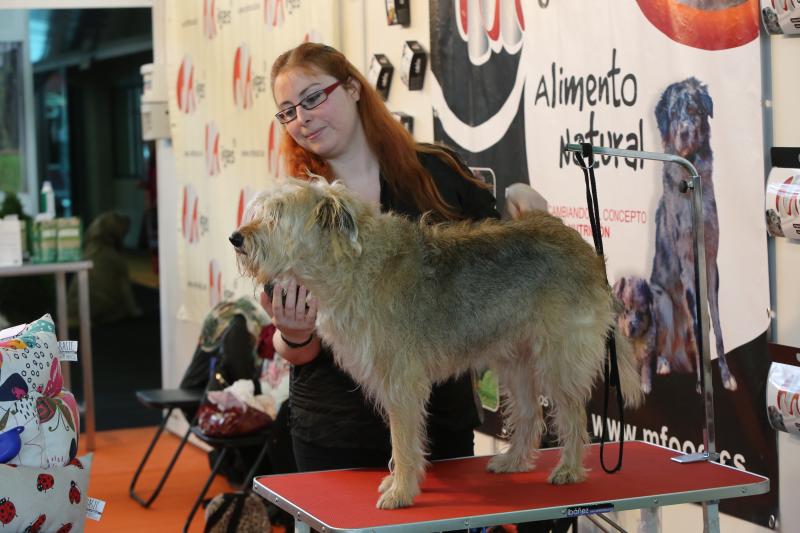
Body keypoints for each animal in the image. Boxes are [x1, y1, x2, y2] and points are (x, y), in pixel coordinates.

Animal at [231, 178, 644, 508]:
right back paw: (513, 461)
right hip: (515, 361)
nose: (235, 238)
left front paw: (400, 492)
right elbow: (404, 441)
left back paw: (570, 469)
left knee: (572, 414)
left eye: (277, 214)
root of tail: (583, 247)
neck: (352, 265)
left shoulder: (401, 382)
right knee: (530, 414)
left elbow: (402, 441)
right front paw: (400, 483)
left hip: (558, 360)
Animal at [652, 76, 736, 390]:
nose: (685, 134)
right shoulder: (688, 267)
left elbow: (716, 324)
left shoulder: (711, 264)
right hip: (662, 303)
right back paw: (663, 364)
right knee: (661, 339)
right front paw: (703, 382)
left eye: (694, 110)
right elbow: (699, 327)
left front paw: (725, 375)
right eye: (673, 114)